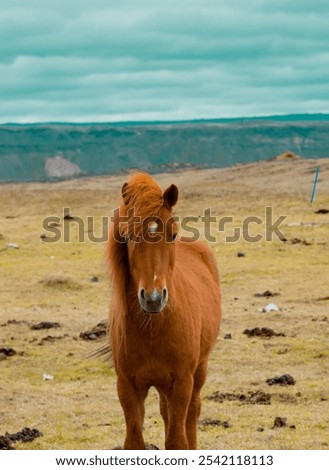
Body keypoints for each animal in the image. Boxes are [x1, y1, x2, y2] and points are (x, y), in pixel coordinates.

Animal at [107, 172, 220, 448]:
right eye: (129, 236)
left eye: (172, 234)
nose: (153, 298)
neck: (153, 329)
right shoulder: (127, 387)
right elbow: (134, 441)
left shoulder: (181, 383)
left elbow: (178, 440)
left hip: (198, 372)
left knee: (192, 413)